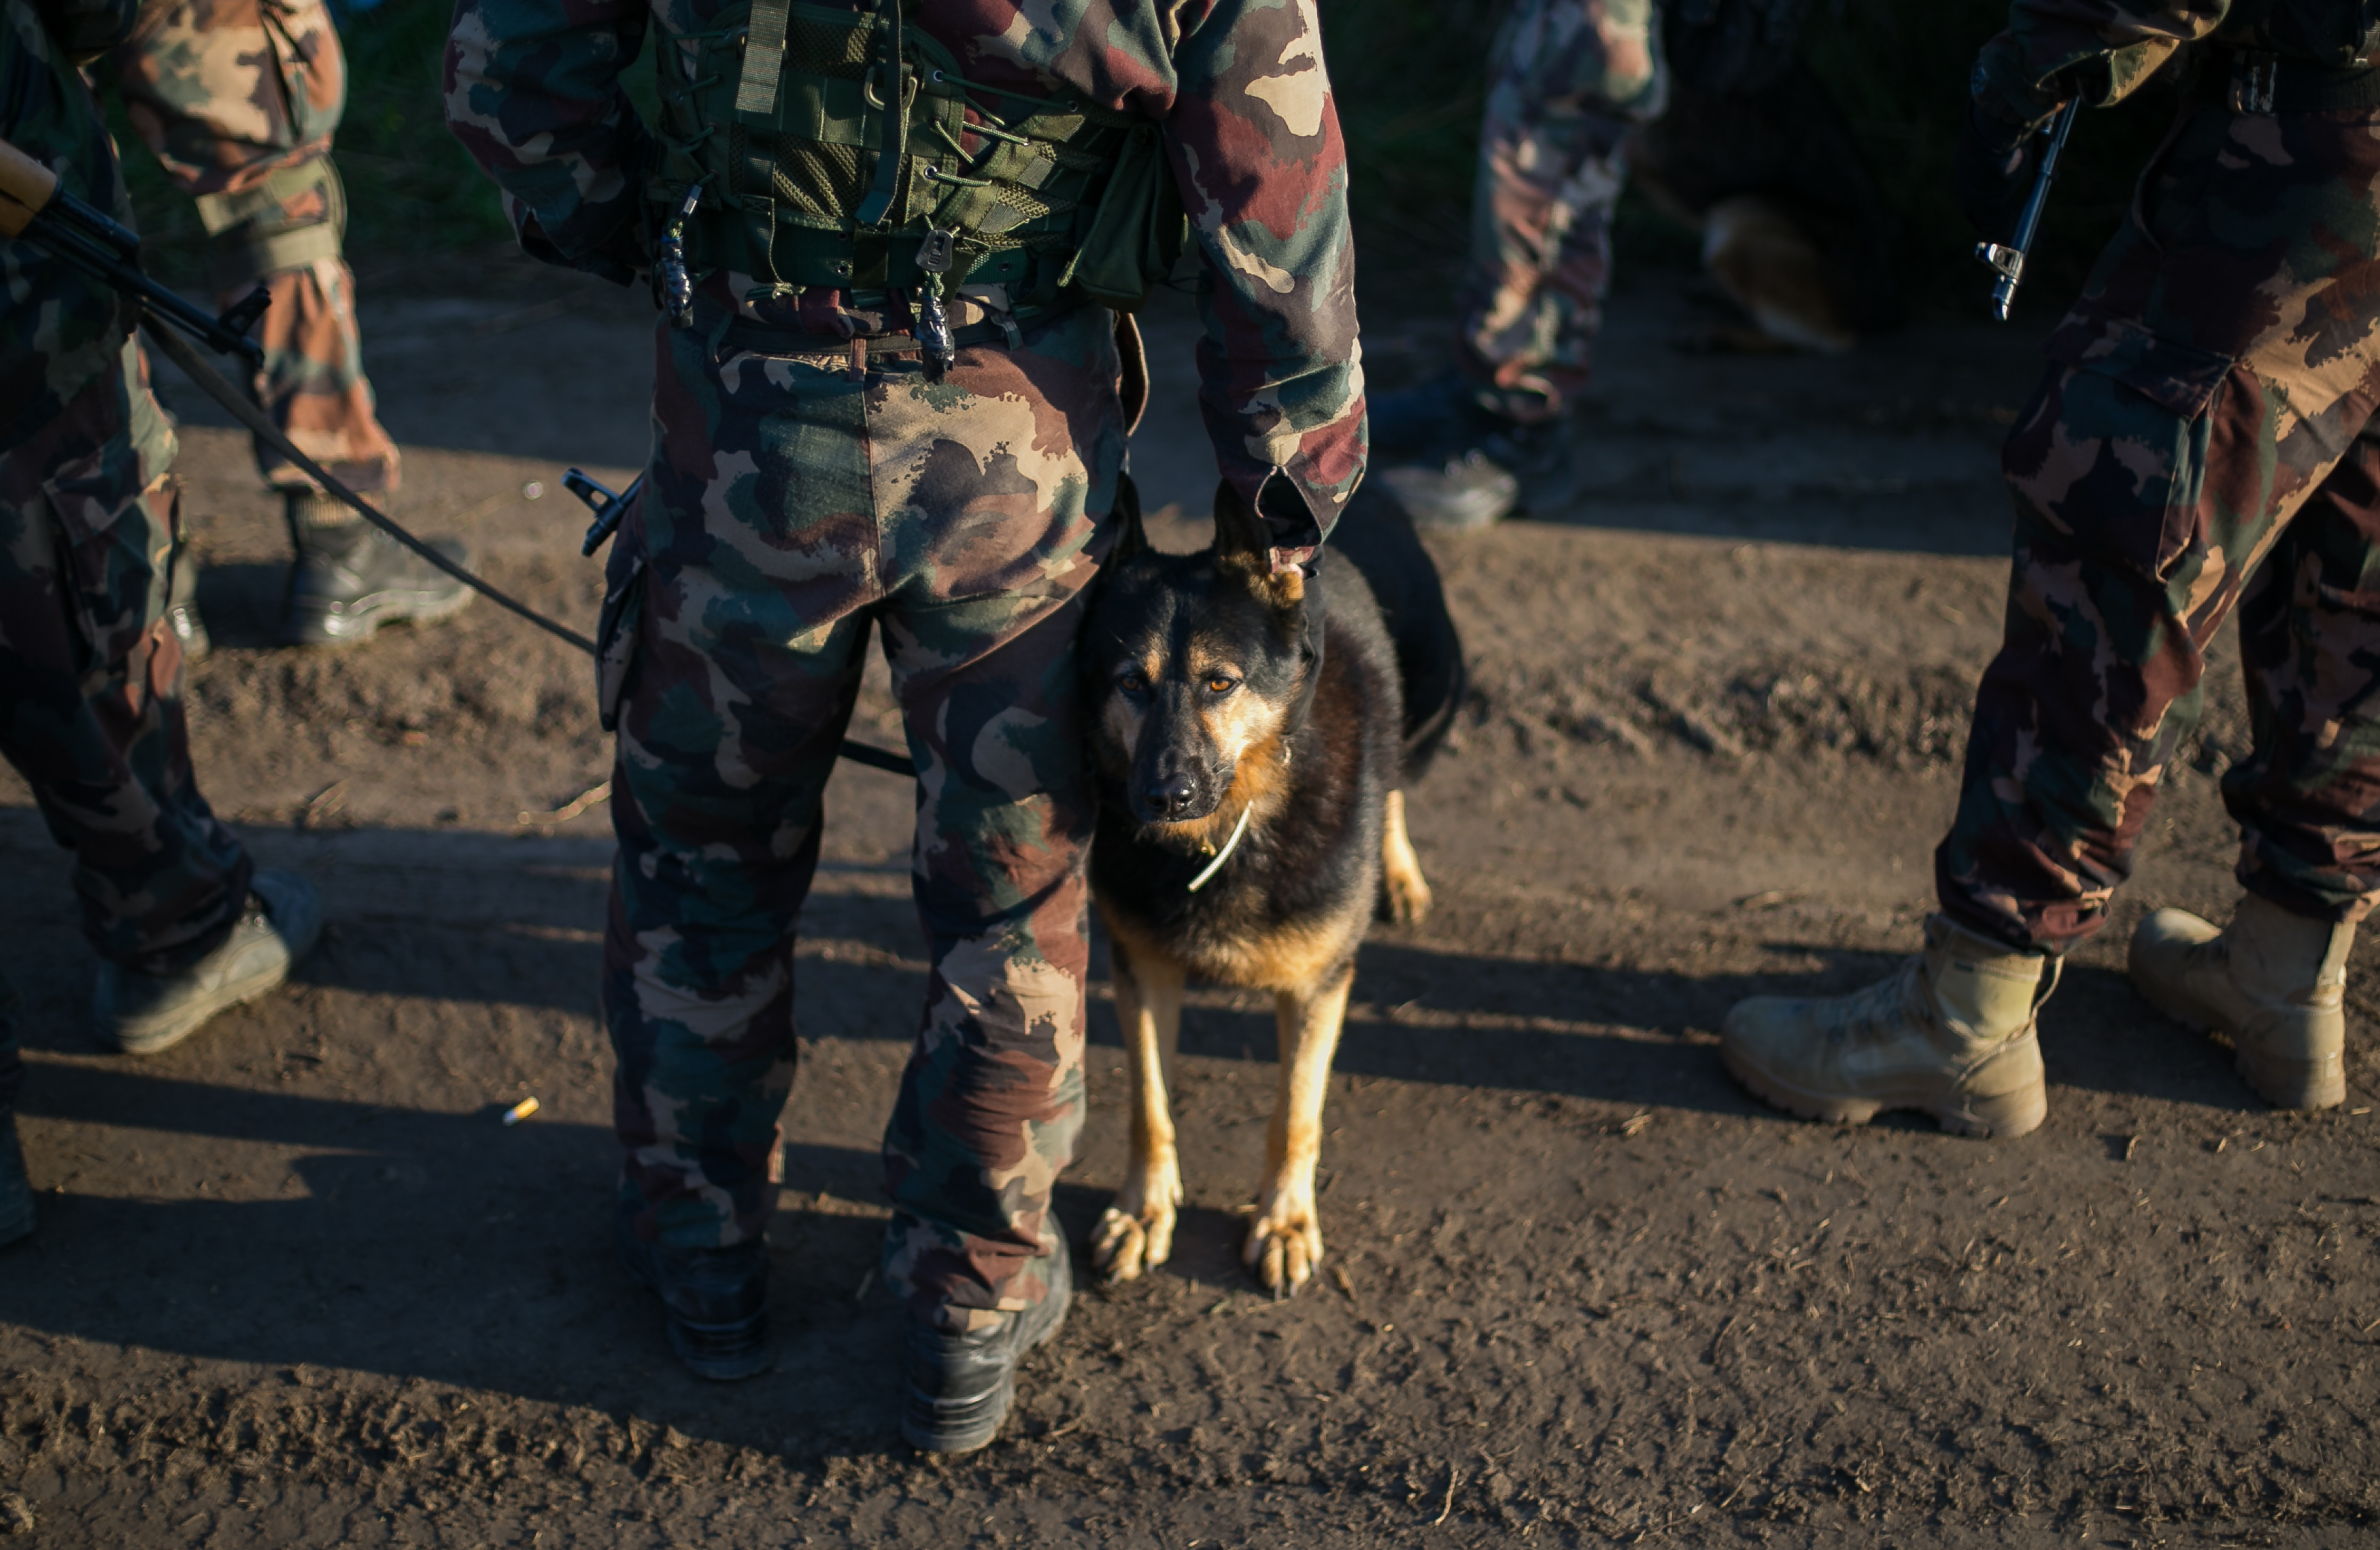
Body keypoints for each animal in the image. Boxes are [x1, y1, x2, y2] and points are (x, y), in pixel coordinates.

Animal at [1085, 481, 1457, 1295]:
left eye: (1220, 682)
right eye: (1129, 683)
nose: (1163, 796)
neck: (1232, 825)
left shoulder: (1319, 985)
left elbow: (1295, 1113)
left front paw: (1284, 1222)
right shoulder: (1142, 969)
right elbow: (1148, 1102)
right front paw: (1144, 1209)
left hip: (1433, 704)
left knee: (1395, 780)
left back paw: (1398, 871)